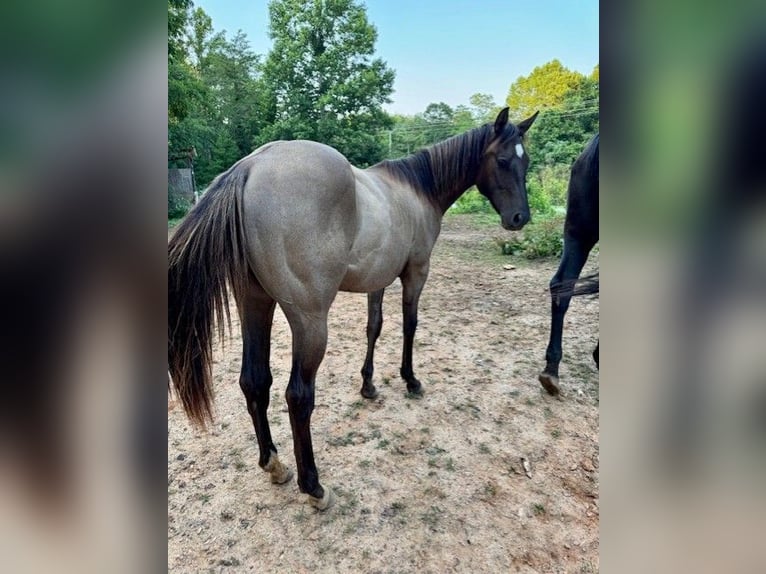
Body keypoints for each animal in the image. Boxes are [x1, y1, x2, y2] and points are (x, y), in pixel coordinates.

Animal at [168, 108, 539, 510]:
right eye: (502, 160)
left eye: (526, 161)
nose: (520, 218)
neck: (417, 189)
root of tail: (250, 167)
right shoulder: (416, 272)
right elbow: (410, 324)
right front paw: (410, 379)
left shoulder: (378, 280)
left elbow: (373, 327)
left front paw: (369, 385)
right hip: (309, 322)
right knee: (298, 396)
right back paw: (313, 486)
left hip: (255, 303)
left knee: (255, 382)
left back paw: (273, 464)